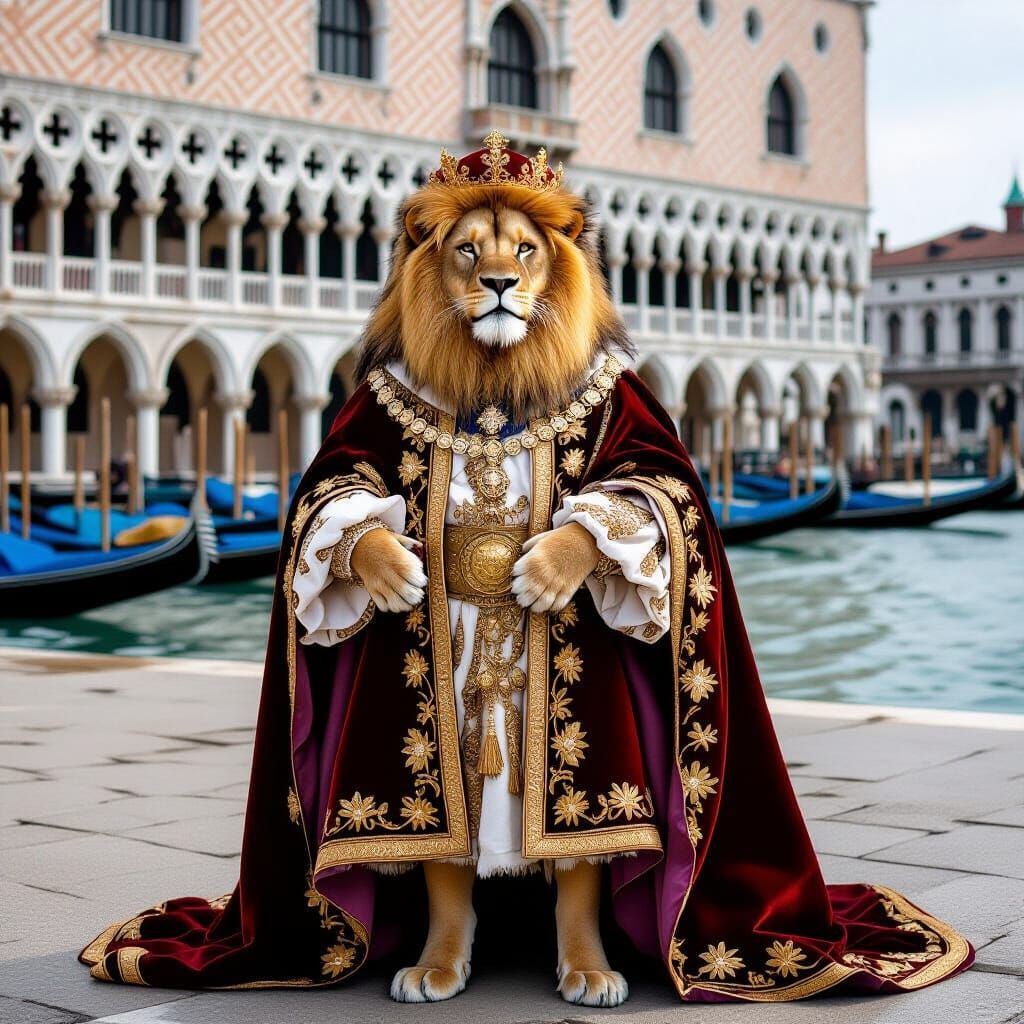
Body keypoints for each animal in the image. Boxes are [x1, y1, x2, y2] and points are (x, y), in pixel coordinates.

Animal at [349, 162, 637, 1006]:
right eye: (468, 249)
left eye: (527, 250)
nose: (503, 283)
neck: (494, 377)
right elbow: (340, 504)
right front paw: (389, 569)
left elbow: (630, 500)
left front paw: (546, 570)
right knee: (449, 859)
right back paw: (438, 964)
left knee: (574, 863)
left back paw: (588, 967)